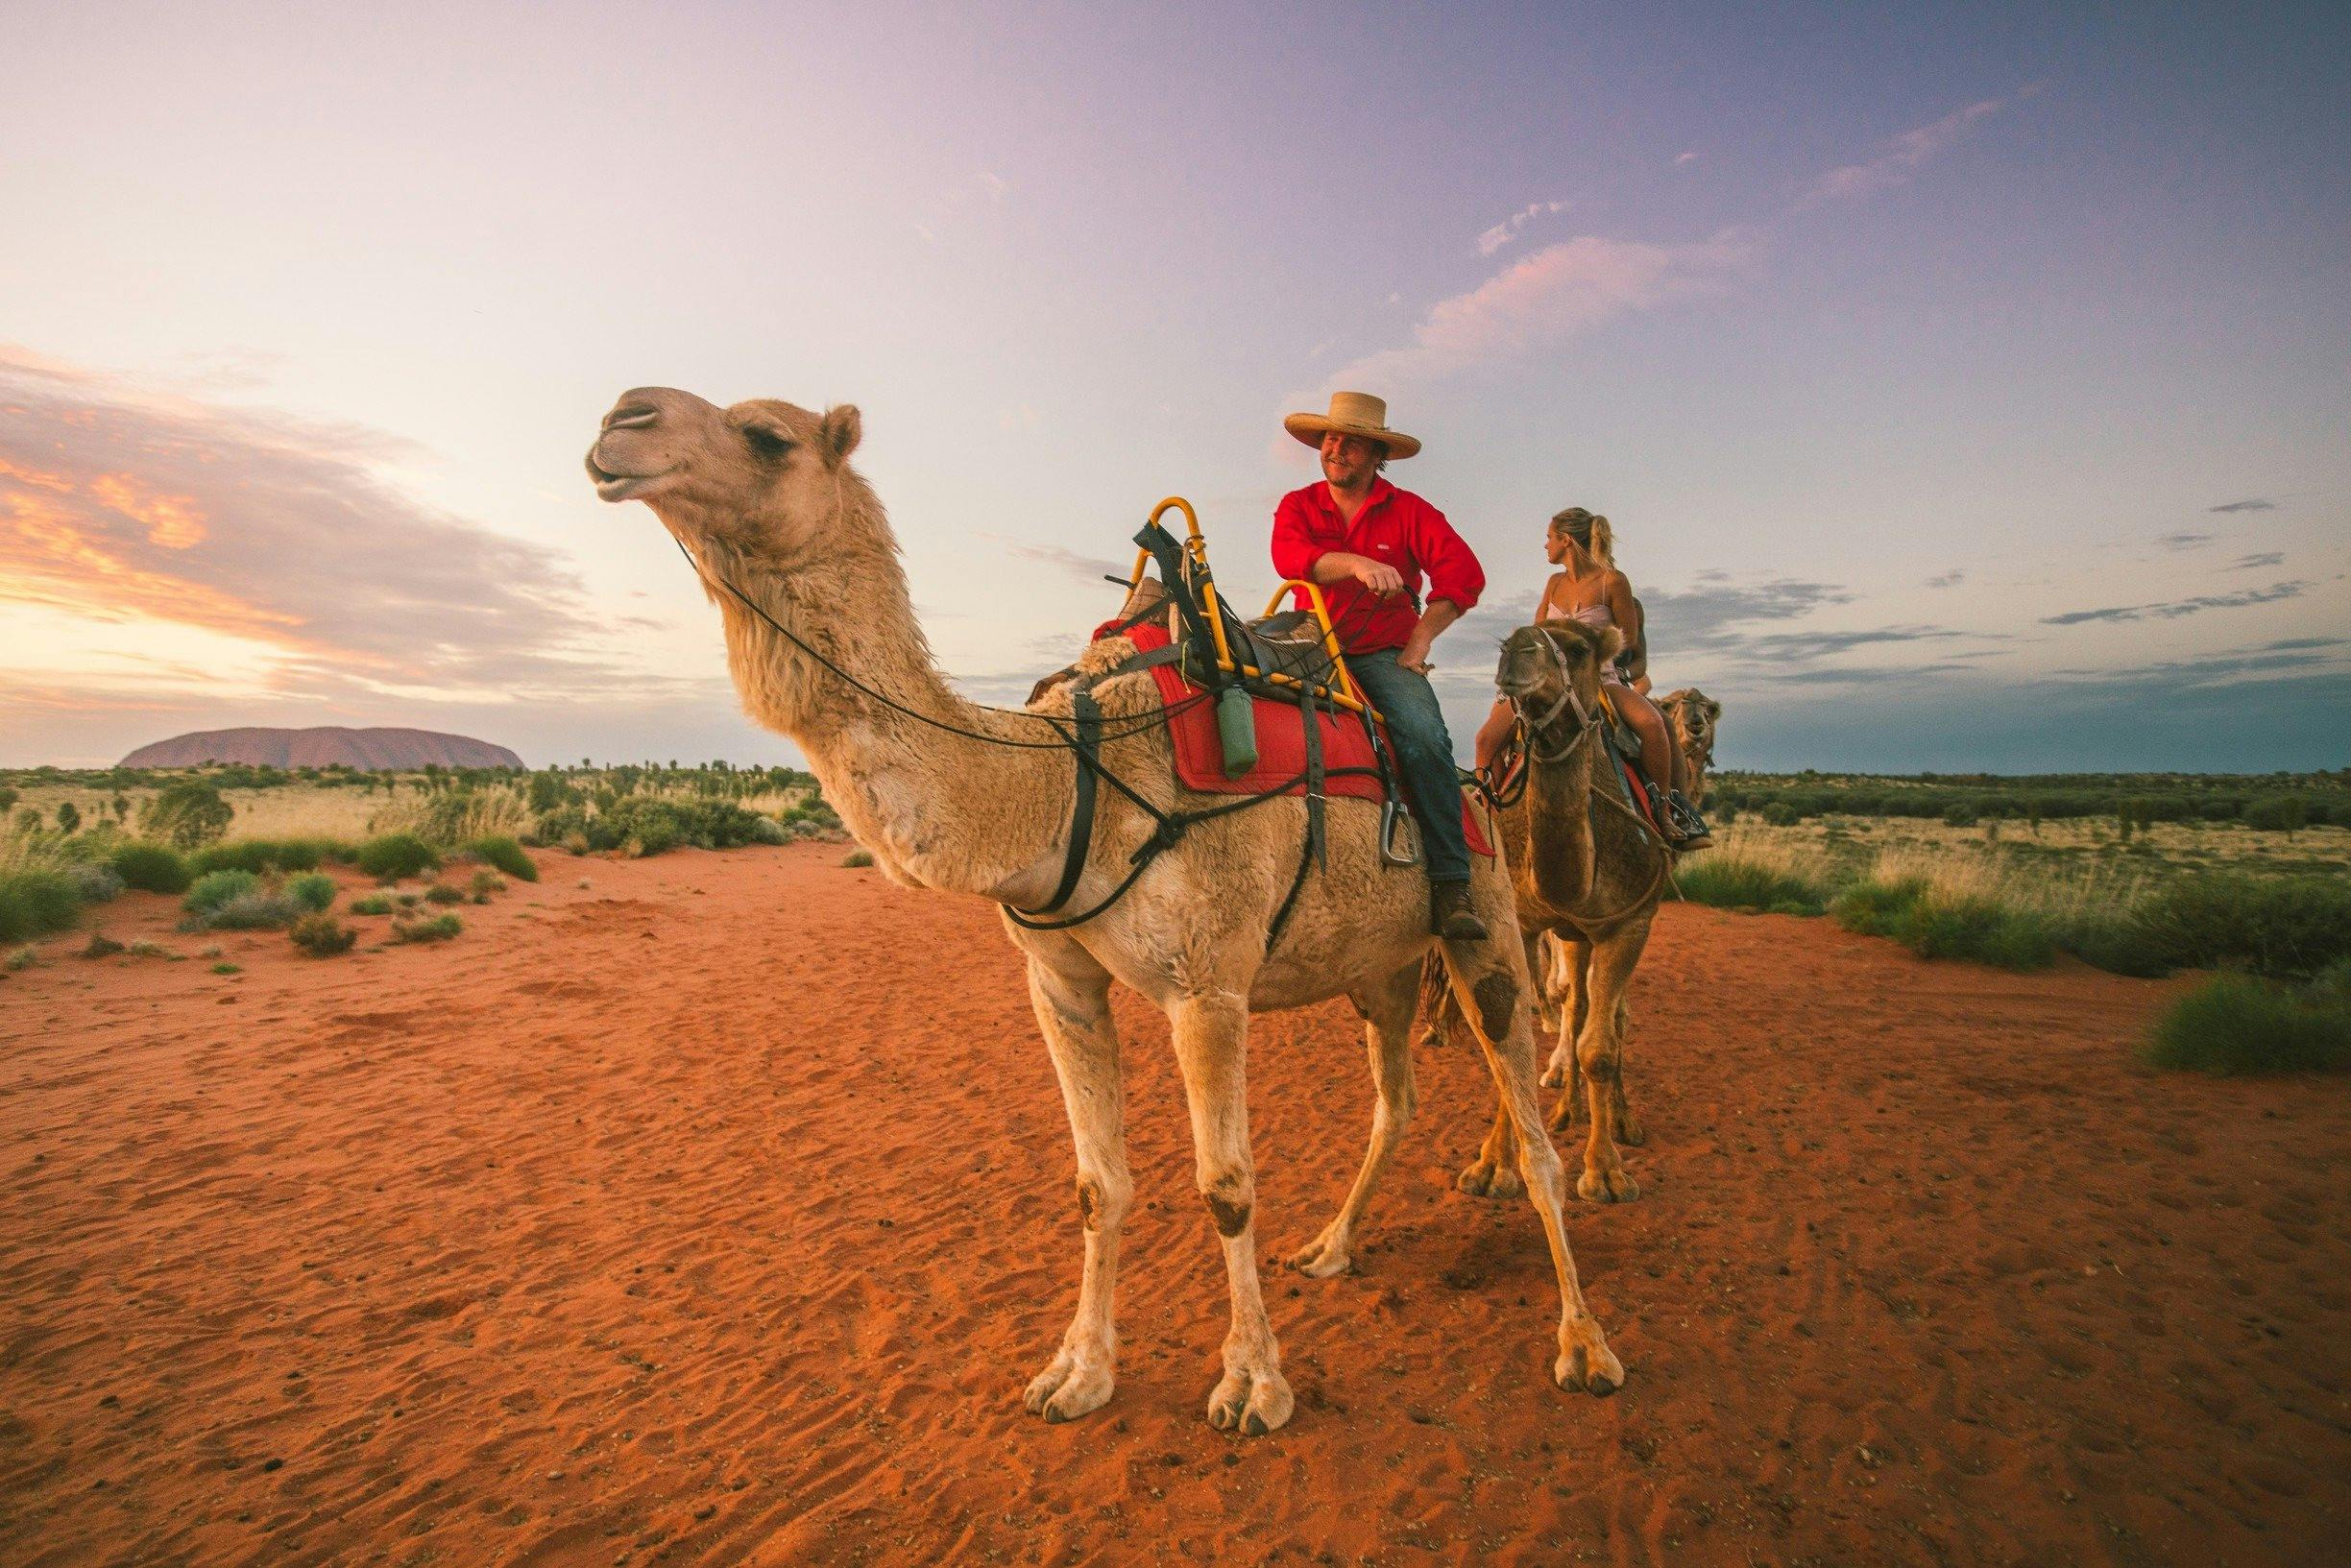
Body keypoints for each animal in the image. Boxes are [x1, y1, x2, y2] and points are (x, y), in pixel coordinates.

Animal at [584, 386, 1621, 1435]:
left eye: (767, 436)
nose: (621, 420)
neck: (1062, 777)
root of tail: (1477, 789)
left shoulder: (1208, 988)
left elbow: (1227, 1186)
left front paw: (1252, 1384)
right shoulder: (1060, 979)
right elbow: (1095, 1183)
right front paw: (1077, 1372)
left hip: (1488, 924)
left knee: (1531, 1127)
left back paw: (1584, 1343)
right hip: (1382, 968)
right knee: (1396, 1098)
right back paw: (1332, 1246)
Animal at [1420, 621, 1673, 1205]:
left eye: (1578, 650)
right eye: (1507, 640)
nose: (1516, 653)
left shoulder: (1630, 923)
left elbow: (1599, 1048)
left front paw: (1604, 1172)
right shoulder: (1523, 920)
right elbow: (1513, 1043)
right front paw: (1492, 1166)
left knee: (1604, 1019)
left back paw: (1617, 1120)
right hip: (1571, 936)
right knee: (1575, 1004)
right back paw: (1565, 1110)